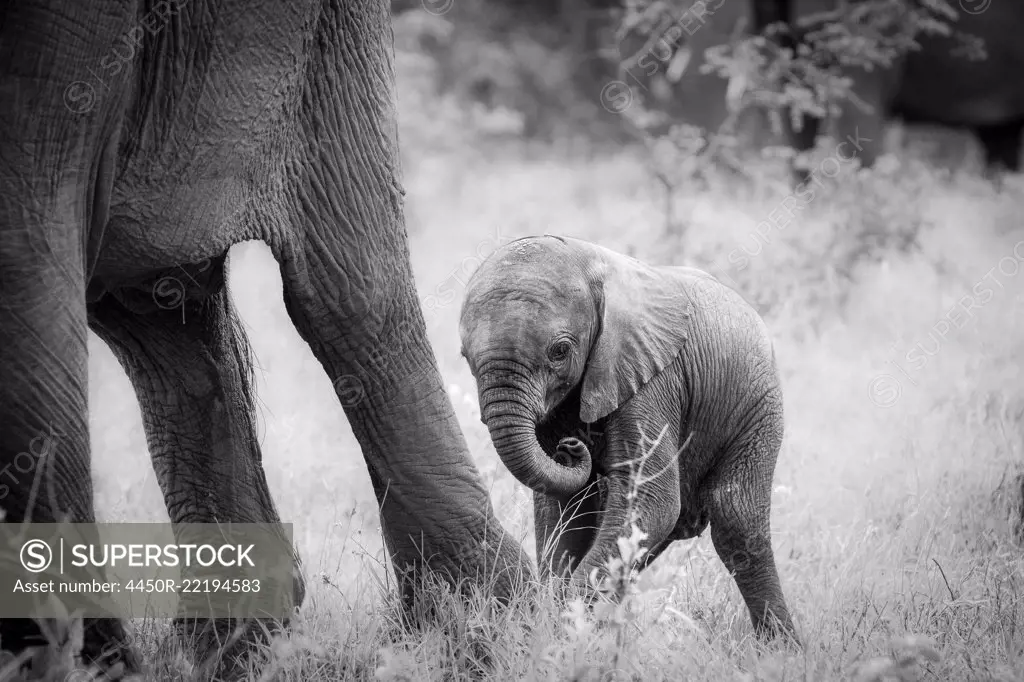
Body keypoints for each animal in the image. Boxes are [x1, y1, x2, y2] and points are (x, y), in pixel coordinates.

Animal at [458, 233, 798, 638]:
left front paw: (566, 626)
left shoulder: (652, 375)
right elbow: (566, 507)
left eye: (560, 351)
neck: (590, 260)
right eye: (464, 356)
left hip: (759, 406)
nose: (570, 448)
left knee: (736, 520)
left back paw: (781, 646)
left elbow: (653, 501)